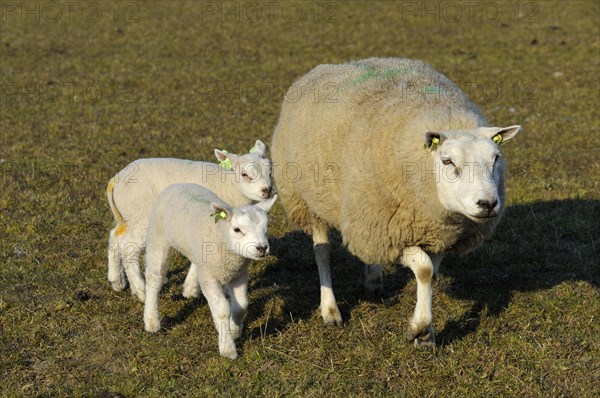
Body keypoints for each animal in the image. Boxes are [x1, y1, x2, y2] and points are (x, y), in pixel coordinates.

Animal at [106, 140, 272, 302]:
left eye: (270, 173)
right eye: (245, 175)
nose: (267, 190)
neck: (229, 187)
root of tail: (116, 179)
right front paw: (191, 290)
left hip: (129, 216)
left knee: (116, 236)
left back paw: (117, 281)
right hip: (141, 214)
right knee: (129, 247)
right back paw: (140, 291)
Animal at [144, 183, 278, 360]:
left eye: (267, 227)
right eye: (237, 230)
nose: (262, 248)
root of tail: (179, 184)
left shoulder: (239, 273)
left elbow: (241, 305)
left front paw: (234, 331)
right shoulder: (209, 276)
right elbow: (221, 310)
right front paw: (228, 348)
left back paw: (190, 289)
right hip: (158, 236)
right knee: (154, 277)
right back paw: (152, 321)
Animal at [272, 57, 520, 346]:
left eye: (496, 158)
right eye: (447, 161)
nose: (488, 204)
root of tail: (326, 67)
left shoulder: (432, 232)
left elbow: (430, 274)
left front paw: (425, 332)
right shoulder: (399, 231)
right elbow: (423, 269)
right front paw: (420, 328)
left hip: (367, 214)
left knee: (369, 249)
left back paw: (373, 281)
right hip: (309, 201)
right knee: (322, 252)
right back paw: (330, 310)